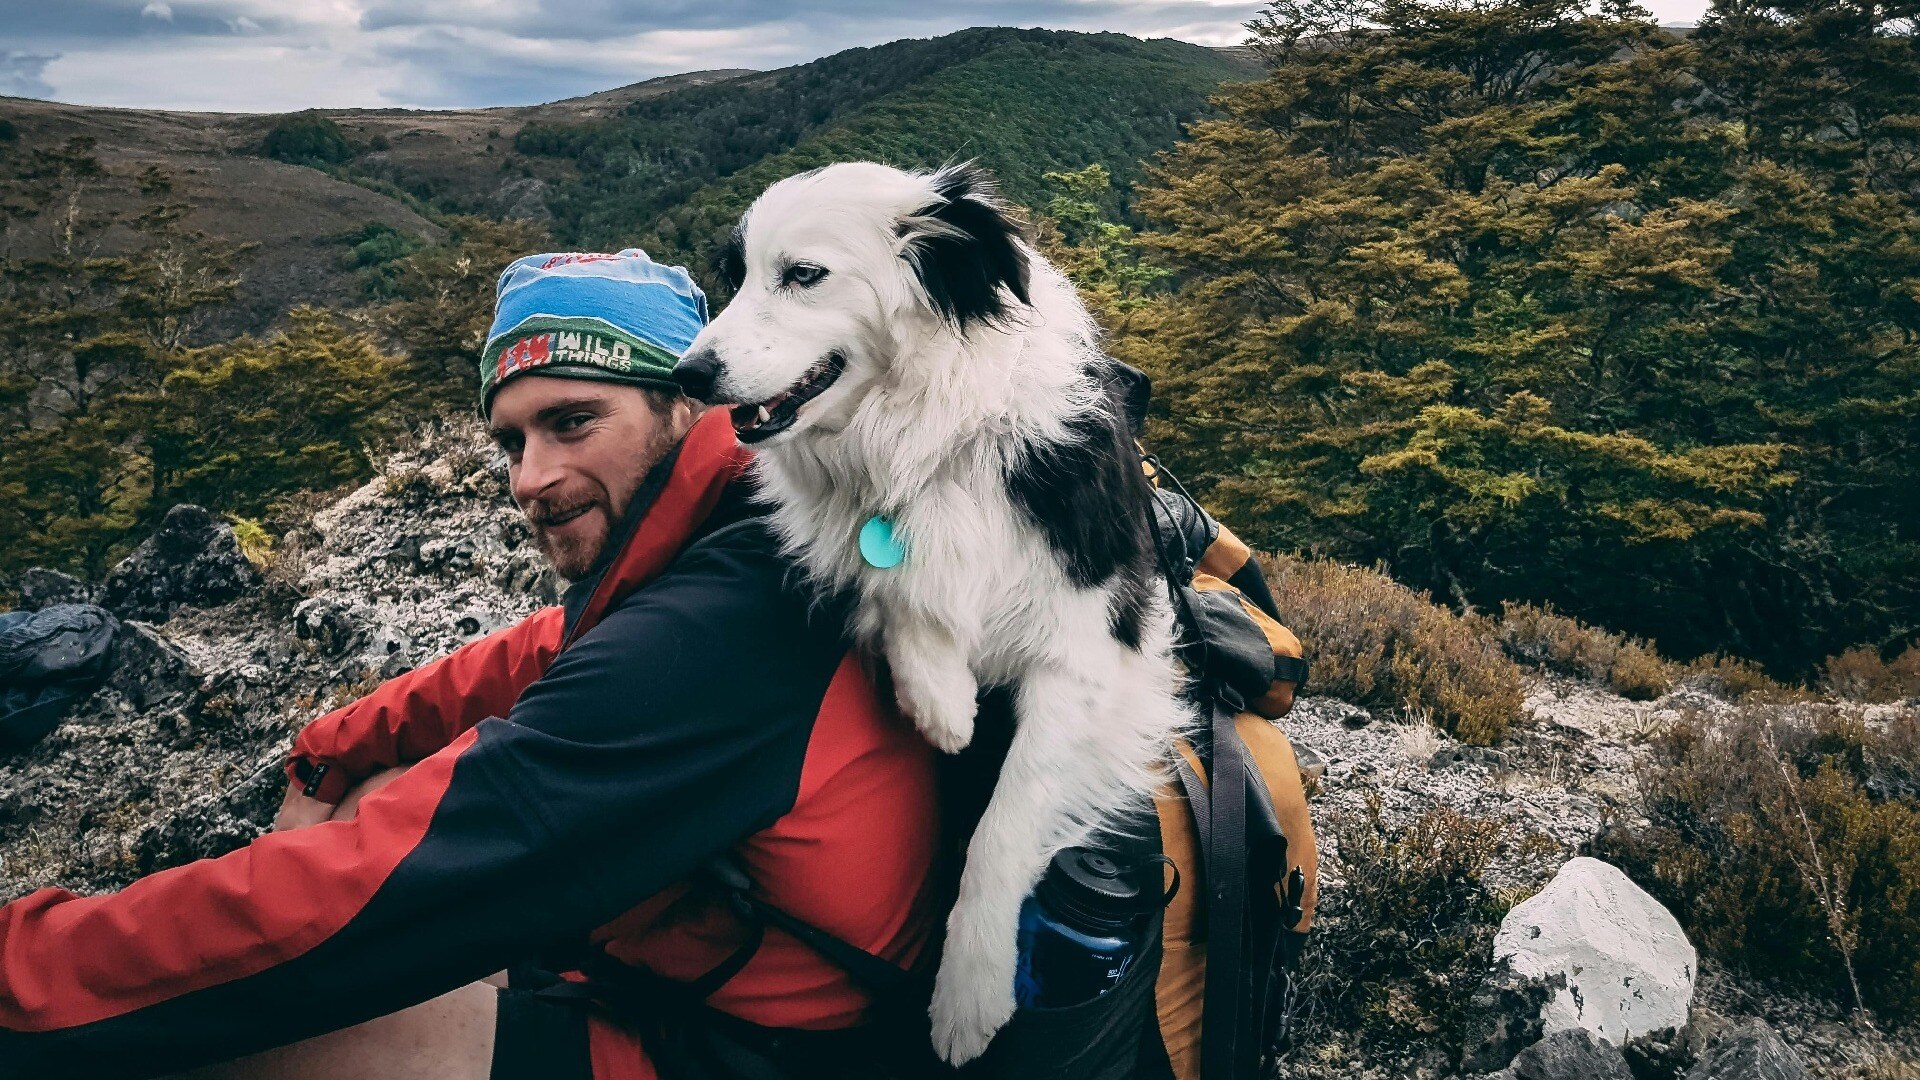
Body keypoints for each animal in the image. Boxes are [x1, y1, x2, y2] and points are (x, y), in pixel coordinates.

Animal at [668, 159, 1190, 1060]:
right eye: (734, 277)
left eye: (803, 274)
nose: (689, 374)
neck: (930, 437)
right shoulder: (859, 540)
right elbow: (895, 588)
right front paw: (942, 702)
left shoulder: (1099, 644)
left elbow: (1006, 822)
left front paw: (969, 993)